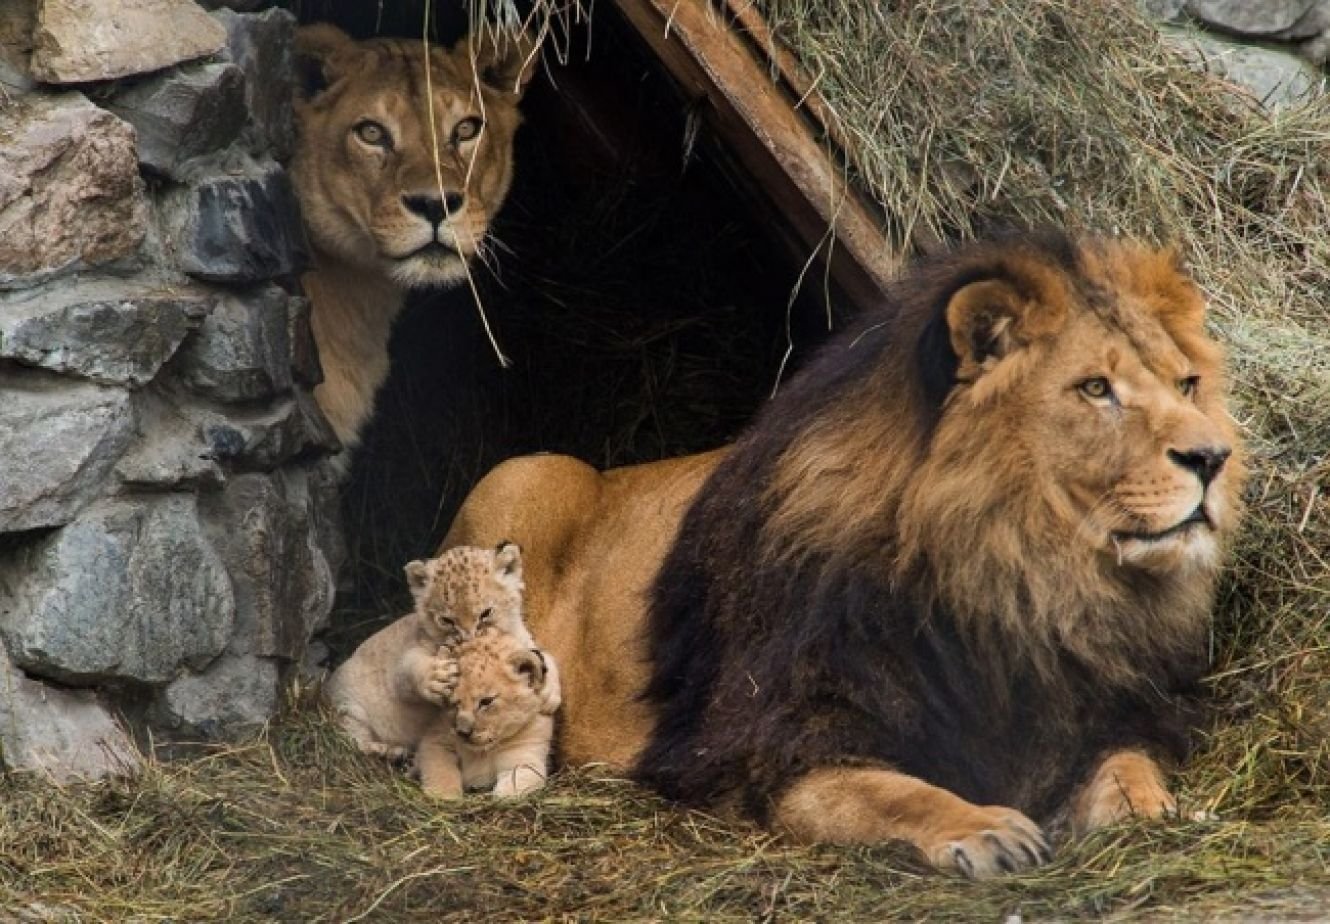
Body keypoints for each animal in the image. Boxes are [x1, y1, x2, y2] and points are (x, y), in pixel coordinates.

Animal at [416, 632, 557, 799]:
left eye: (486, 701)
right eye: (453, 702)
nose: (463, 732)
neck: (482, 753)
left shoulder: (524, 759)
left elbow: (513, 786)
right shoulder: (436, 740)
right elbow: (440, 769)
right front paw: (445, 796)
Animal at [439, 232, 1244, 877]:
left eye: (1187, 383)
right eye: (1095, 388)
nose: (1213, 457)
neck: (1019, 579)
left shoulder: (1109, 710)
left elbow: (1128, 765)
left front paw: (1155, 810)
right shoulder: (781, 747)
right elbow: (897, 794)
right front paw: (983, 828)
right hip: (526, 473)